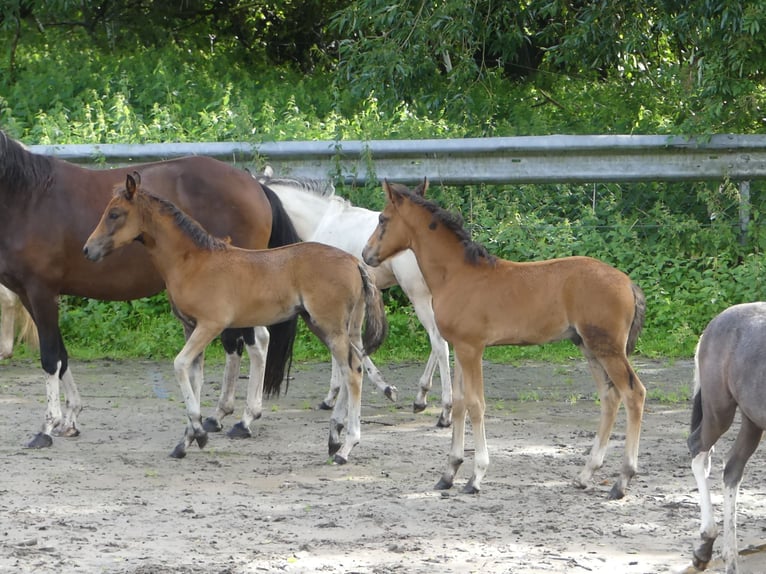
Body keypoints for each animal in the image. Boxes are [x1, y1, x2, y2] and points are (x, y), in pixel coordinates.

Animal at [0, 130, 298, 450]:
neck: (29, 199)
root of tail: (256, 185)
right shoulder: (28, 294)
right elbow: (62, 354)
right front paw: (69, 420)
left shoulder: (41, 292)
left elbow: (50, 357)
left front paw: (46, 427)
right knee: (240, 343)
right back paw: (218, 416)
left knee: (256, 342)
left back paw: (244, 420)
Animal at [82, 173, 390, 462]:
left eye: (114, 213)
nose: (88, 249)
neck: (192, 261)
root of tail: (355, 262)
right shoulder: (190, 327)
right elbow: (194, 378)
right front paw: (186, 440)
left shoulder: (210, 325)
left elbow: (180, 365)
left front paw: (200, 433)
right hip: (332, 326)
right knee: (352, 365)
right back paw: (334, 436)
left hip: (330, 326)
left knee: (351, 371)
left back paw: (346, 446)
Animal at [255, 166, 452, 428]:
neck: (321, 221)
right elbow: (355, 341)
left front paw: (335, 395)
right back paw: (421, 398)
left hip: (418, 295)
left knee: (439, 342)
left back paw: (445, 412)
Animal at [364, 180, 648, 500]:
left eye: (382, 219)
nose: (366, 254)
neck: (457, 275)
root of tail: (628, 283)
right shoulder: (460, 349)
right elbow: (459, 404)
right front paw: (448, 474)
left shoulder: (472, 349)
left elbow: (476, 404)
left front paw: (475, 477)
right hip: (588, 346)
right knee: (610, 397)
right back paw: (585, 474)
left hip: (608, 348)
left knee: (634, 394)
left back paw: (621, 480)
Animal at [688, 304, 766, 572]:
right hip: (719, 410)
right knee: (698, 449)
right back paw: (706, 547)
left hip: (753, 421)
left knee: (732, 468)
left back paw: (727, 558)